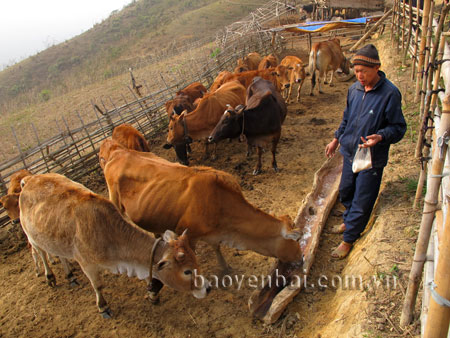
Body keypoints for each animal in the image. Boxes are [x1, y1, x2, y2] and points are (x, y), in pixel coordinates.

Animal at [18, 173, 209, 318]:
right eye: (187, 271)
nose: (207, 288)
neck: (106, 231)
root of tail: (29, 179)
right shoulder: (87, 264)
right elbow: (98, 286)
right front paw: (103, 307)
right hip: (32, 237)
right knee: (42, 254)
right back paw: (50, 277)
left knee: (60, 255)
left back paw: (70, 275)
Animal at [98, 139, 302, 274]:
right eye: (295, 240)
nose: (301, 258)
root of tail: (118, 151)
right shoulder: (188, 234)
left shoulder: (213, 234)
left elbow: (217, 248)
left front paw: (226, 267)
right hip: (114, 200)